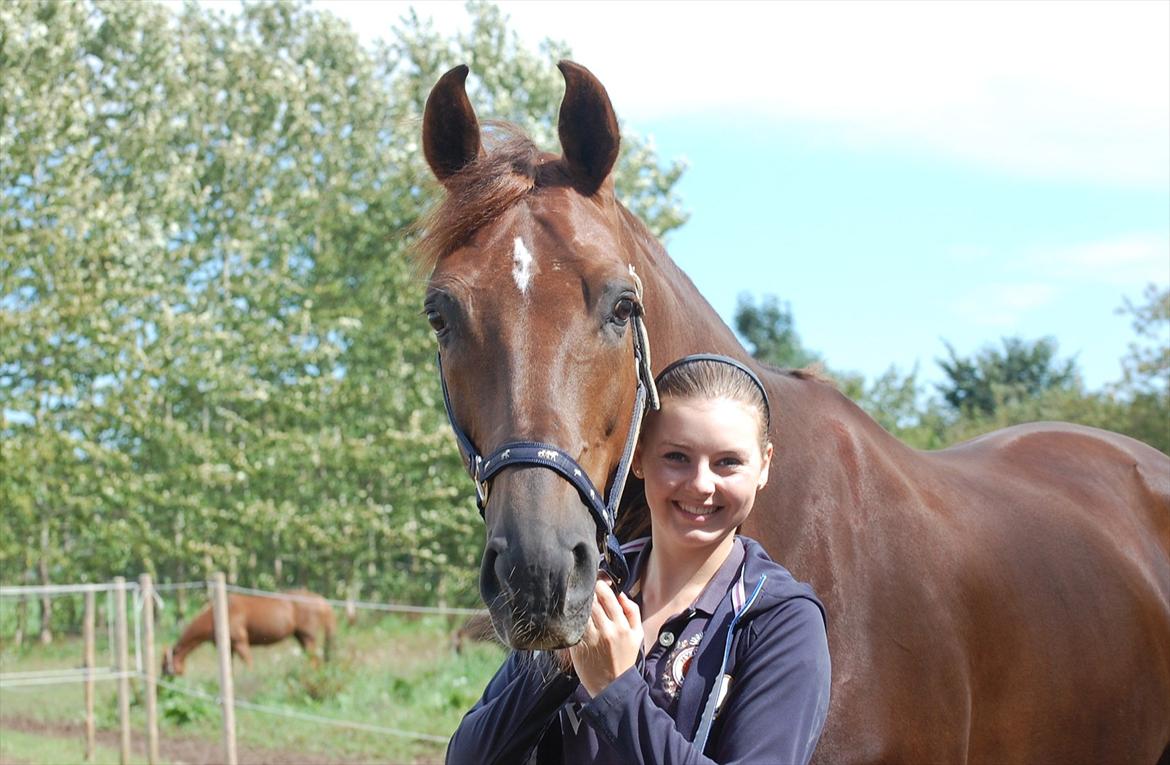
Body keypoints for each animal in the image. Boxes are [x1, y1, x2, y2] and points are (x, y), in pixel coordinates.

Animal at [161, 594, 334, 678]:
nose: (161, 680)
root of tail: (322, 601)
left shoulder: (241, 643)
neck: (216, 616)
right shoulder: (229, 647)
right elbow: (229, 667)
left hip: (307, 637)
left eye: (164, 665)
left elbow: (248, 663)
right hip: (301, 637)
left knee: (314, 660)